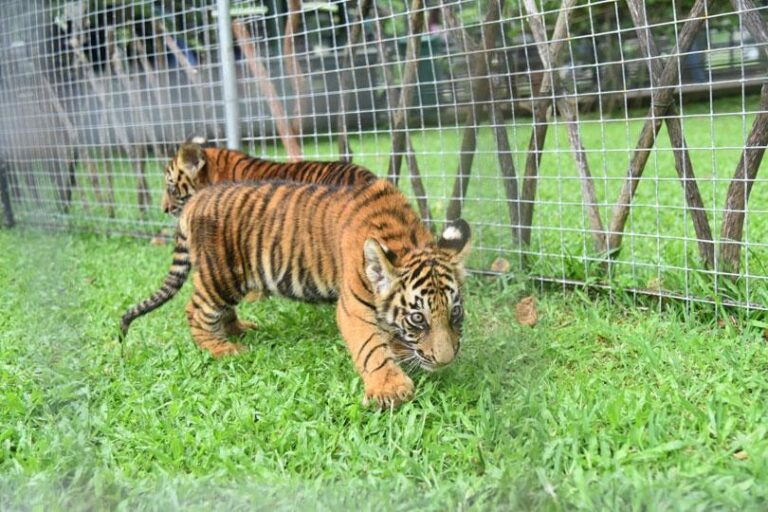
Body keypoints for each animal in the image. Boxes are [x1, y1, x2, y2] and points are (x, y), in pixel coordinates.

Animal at [121, 179, 471, 408]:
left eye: (455, 313)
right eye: (417, 319)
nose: (446, 360)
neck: (404, 237)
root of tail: (197, 198)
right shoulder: (353, 307)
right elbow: (370, 347)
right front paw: (390, 388)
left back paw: (238, 330)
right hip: (221, 274)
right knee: (196, 310)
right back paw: (222, 348)